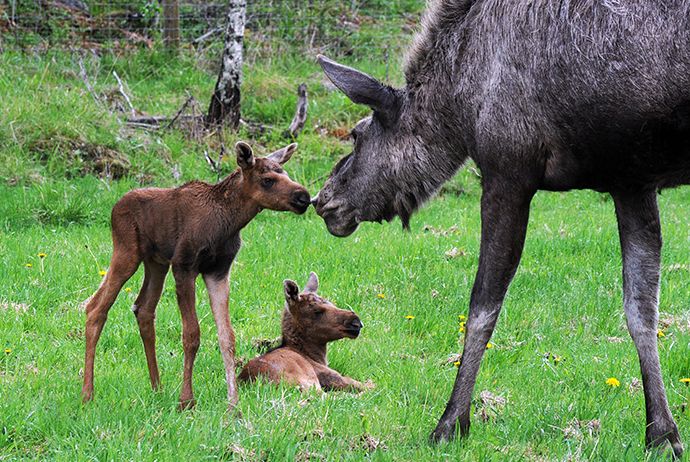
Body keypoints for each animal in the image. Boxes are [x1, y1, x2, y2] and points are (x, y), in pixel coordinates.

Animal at [239, 272, 374, 392]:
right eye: (317, 311)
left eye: (332, 303)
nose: (356, 322)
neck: (317, 357)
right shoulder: (334, 376)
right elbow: (369, 386)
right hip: (309, 382)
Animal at [314, 0, 688, 456]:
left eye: (355, 135)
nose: (323, 200)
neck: (459, 100)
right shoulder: (632, 184)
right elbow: (642, 311)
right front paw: (662, 433)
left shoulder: (507, 174)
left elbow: (481, 309)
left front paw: (451, 422)